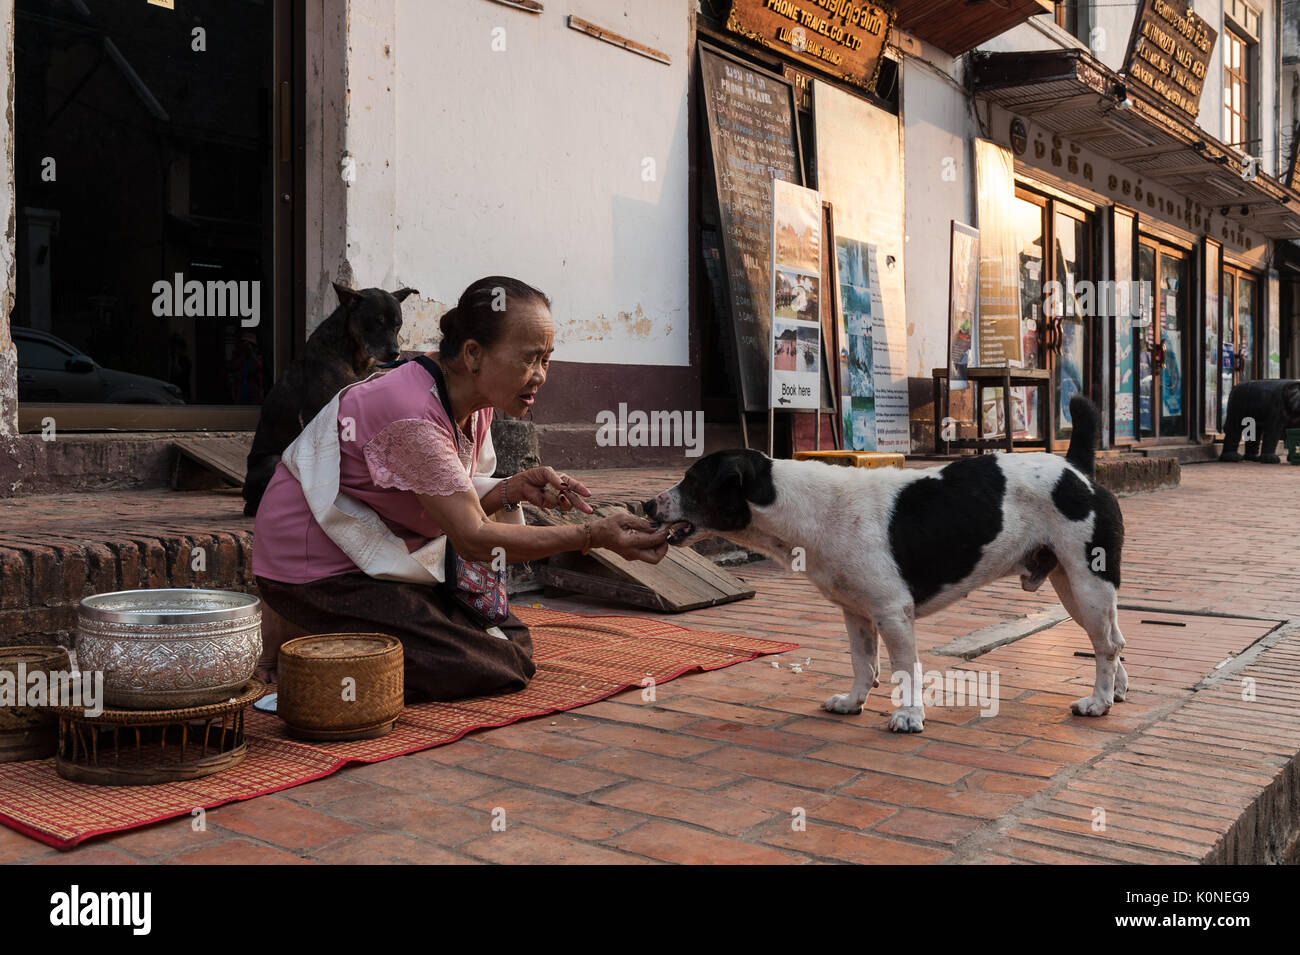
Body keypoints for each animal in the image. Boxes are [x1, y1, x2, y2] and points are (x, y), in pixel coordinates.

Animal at [239, 281, 410, 514]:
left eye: (398, 324)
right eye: (376, 321)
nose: (395, 352)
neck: (355, 355)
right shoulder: (319, 411)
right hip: (272, 462)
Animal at [644, 394, 1123, 732]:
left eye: (692, 481)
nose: (648, 504)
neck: (803, 504)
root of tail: (1078, 472)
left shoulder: (893, 614)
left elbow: (903, 668)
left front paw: (909, 715)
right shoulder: (856, 612)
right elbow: (864, 663)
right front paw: (853, 701)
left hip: (1089, 584)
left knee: (1107, 645)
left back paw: (1098, 702)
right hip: (1073, 589)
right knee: (1112, 641)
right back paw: (1116, 692)